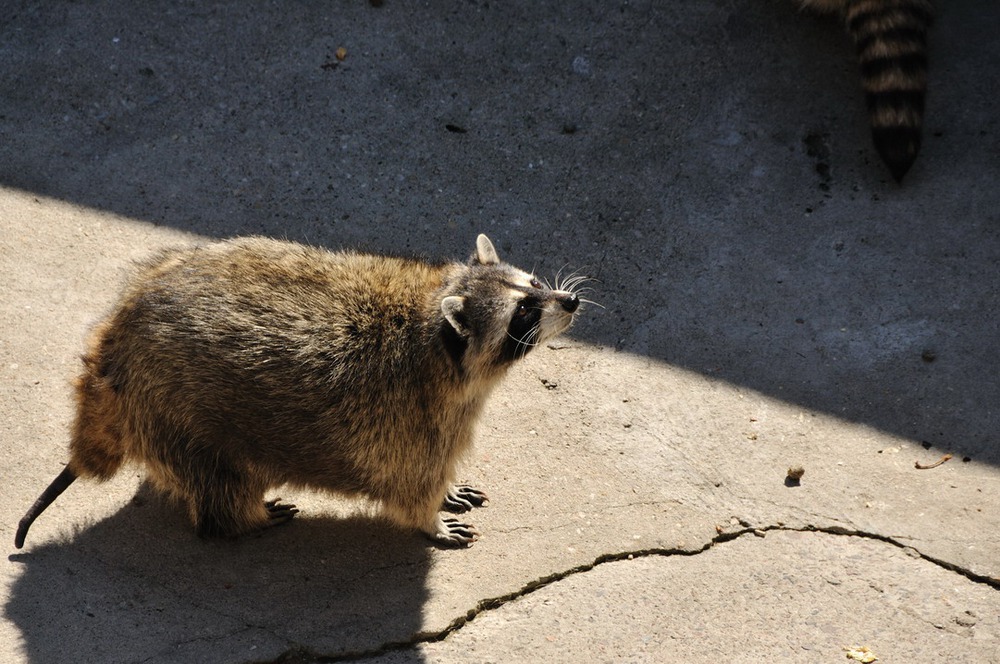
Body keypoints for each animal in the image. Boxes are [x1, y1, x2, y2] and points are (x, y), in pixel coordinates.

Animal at [11, 236, 584, 548]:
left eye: (534, 285)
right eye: (524, 314)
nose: (571, 301)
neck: (429, 322)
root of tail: (113, 344)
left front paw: (445, 493)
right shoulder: (409, 417)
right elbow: (408, 482)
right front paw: (431, 516)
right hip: (176, 414)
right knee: (220, 481)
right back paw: (240, 518)